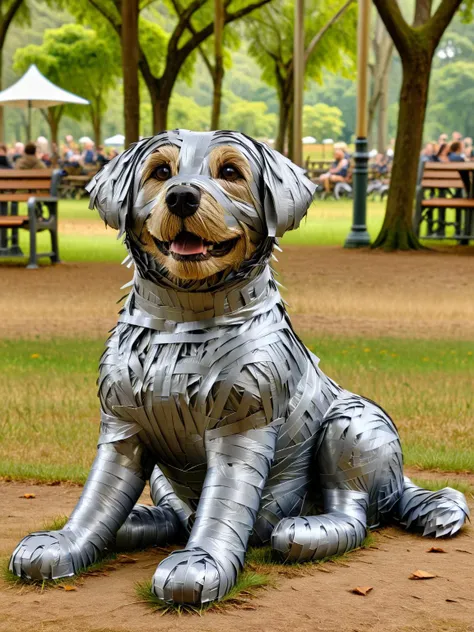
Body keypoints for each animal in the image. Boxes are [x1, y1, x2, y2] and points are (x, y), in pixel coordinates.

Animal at [8, 130, 470, 608]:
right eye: (161, 171)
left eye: (230, 172)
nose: (182, 196)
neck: (180, 325)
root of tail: (401, 480)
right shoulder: (123, 427)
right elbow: (98, 496)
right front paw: (64, 542)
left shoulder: (243, 422)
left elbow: (222, 506)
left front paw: (200, 563)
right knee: (176, 516)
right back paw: (136, 521)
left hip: (353, 423)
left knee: (353, 512)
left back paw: (306, 529)